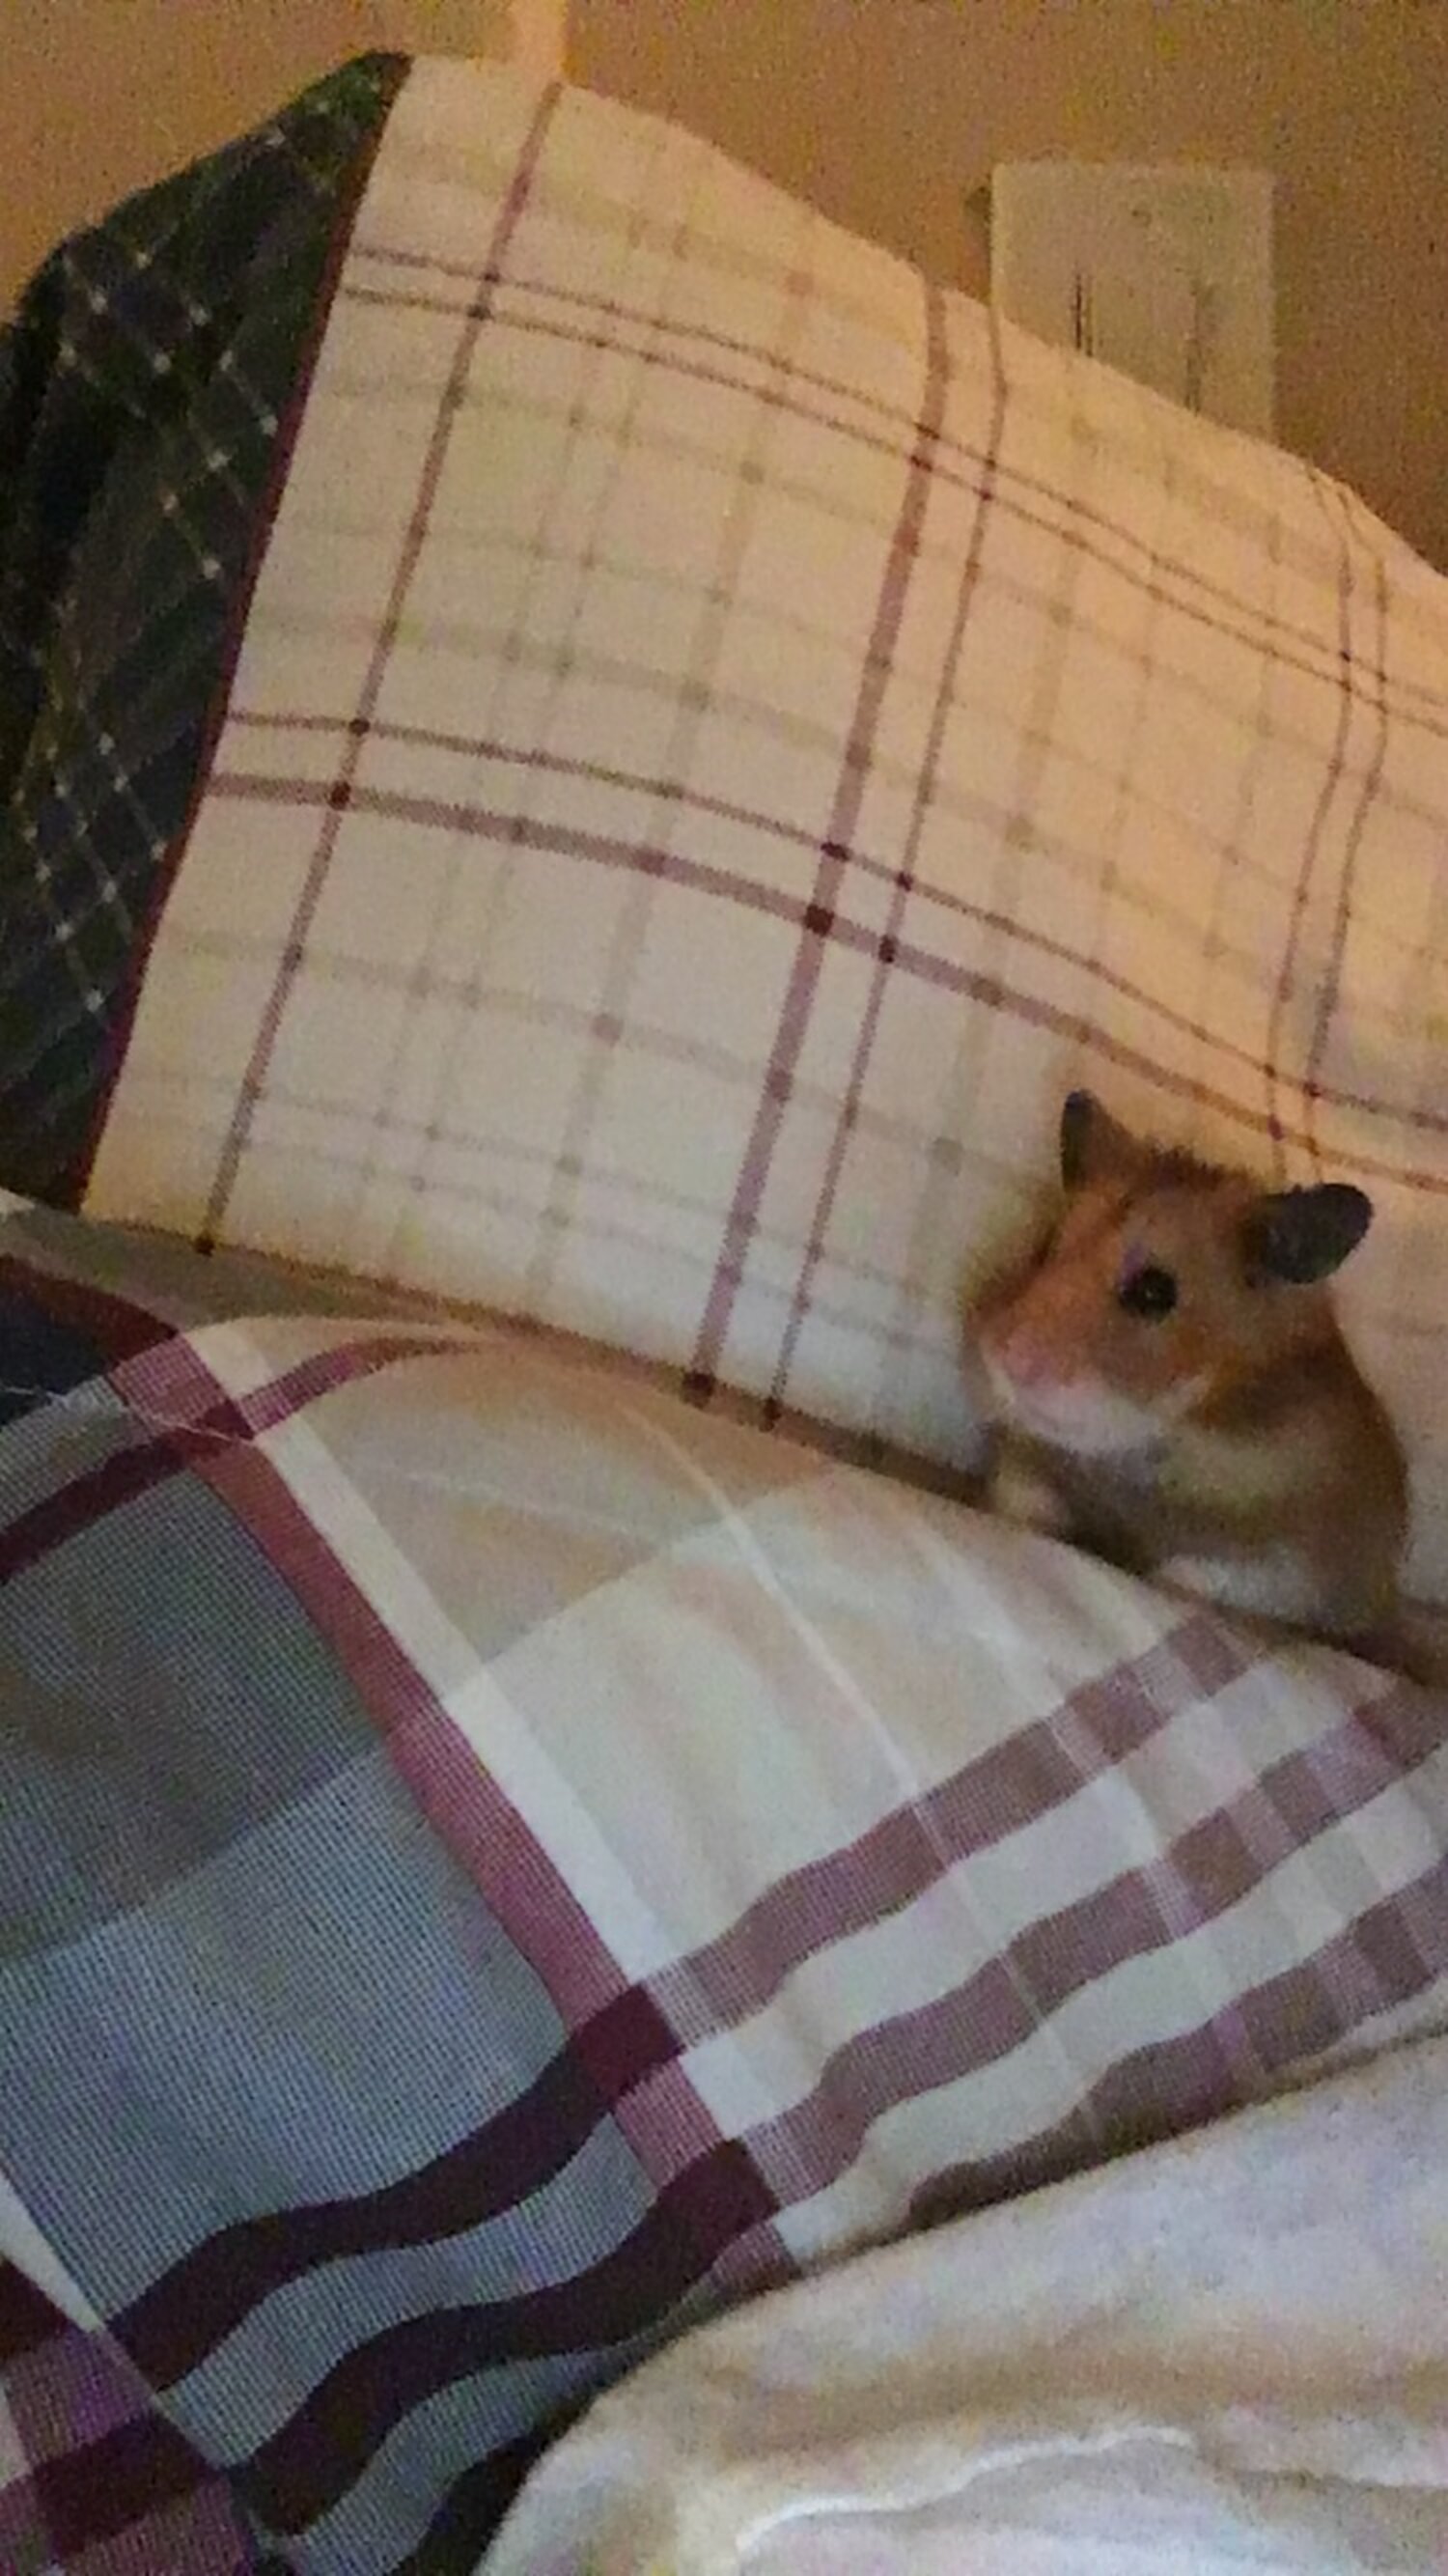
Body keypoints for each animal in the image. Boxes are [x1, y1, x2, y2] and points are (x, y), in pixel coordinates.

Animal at [968, 1089, 1407, 1647]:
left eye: (1154, 1292)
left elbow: (1202, 1575)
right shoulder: (1023, 1472)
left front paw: (1163, 1575)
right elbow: (1027, 1502)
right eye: (1044, 1249)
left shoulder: (1304, 1570)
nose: (1010, 1359)